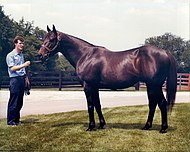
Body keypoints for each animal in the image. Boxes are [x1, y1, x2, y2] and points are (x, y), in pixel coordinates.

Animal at [37, 25, 177, 133]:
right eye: (44, 38)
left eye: (52, 39)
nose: (40, 55)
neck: (85, 55)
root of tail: (165, 52)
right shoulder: (94, 87)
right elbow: (98, 105)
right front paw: (101, 125)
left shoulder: (87, 86)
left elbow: (90, 106)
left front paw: (90, 127)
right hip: (150, 85)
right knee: (153, 104)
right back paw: (147, 126)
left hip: (155, 85)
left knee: (162, 103)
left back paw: (163, 128)